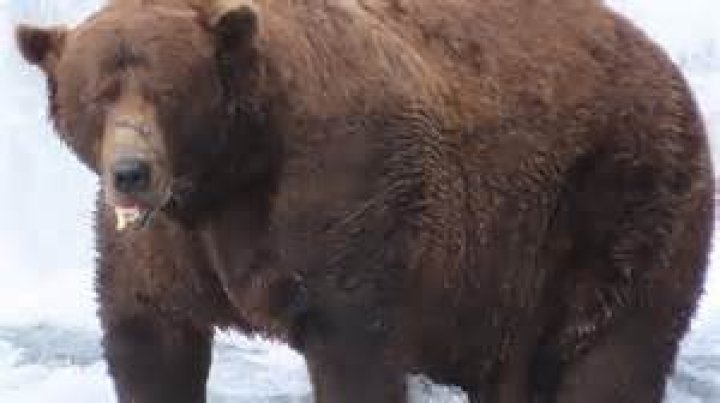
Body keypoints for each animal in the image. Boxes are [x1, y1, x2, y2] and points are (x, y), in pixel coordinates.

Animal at [16, 0, 714, 402]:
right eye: (98, 94)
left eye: (166, 91)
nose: (131, 172)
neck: (227, 175)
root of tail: (665, 62)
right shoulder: (165, 247)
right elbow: (149, 337)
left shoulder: (343, 198)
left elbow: (354, 349)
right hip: (512, 277)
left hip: (623, 203)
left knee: (615, 356)